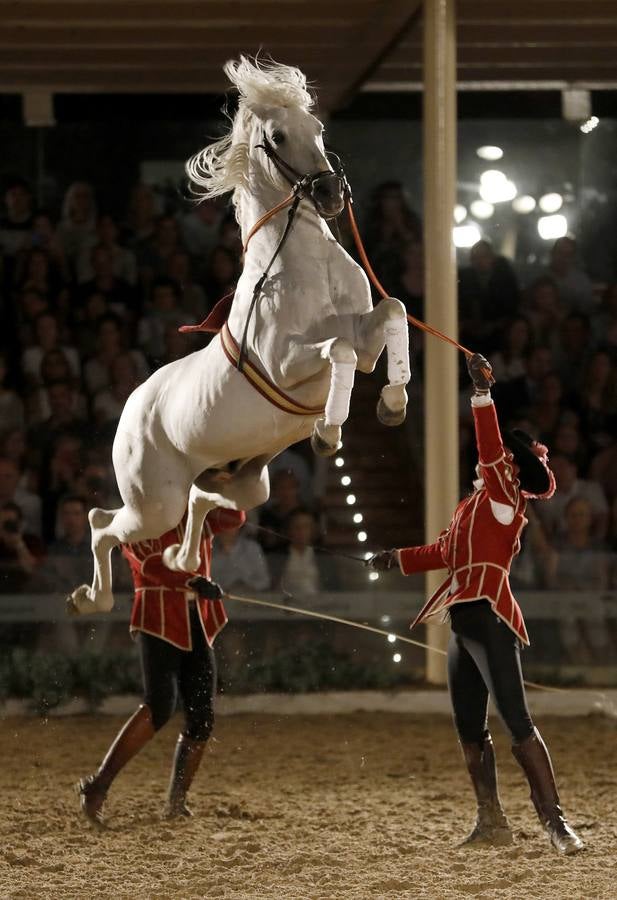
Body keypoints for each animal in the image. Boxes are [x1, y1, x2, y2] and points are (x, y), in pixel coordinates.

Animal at [67, 56, 410, 616]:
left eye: (318, 130)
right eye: (278, 136)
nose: (329, 193)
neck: (306, 267)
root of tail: (133, 404)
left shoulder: (364, 338)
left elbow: (393, 313)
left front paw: (392, 403)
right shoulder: (287, 363)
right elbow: (336, 350)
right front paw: (328, 431)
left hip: (246, 482)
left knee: (202, 499)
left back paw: (182, 562)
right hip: (152, 502)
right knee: (103, 524)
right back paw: (91, 599)